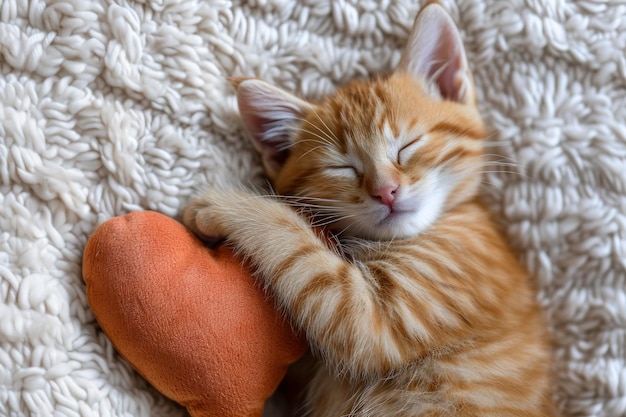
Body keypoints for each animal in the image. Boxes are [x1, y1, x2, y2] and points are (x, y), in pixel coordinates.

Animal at [183, 4, 552, 416]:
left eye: (408, 146)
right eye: (343, 167)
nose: (386, 191)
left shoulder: (380, 318)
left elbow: (292, 242)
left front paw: (225, 205)